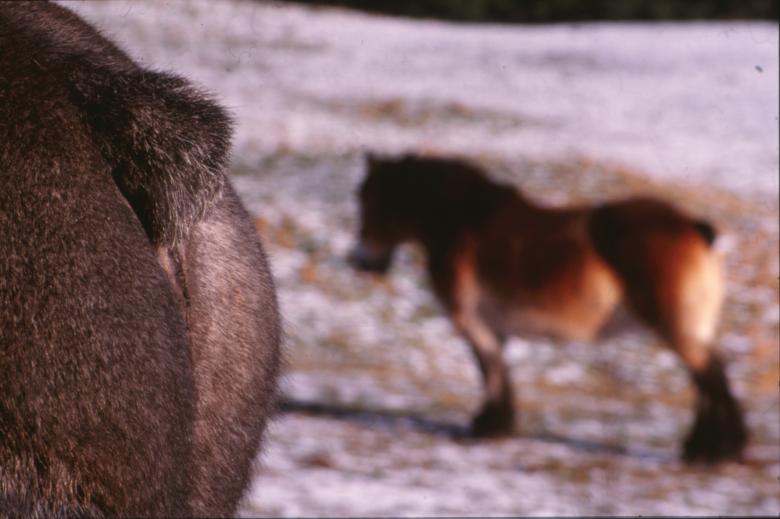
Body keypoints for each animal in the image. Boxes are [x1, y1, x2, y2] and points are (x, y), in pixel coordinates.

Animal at [349, 153, 746, 463]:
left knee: (711, 379)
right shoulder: (493, 328)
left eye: (370, 199)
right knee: (706, 381)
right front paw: (497, 424)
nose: (361, 262)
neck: (461, 222)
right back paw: (702, 447)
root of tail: (694, 227)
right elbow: (496, 373)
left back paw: (714, 451)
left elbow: (490, 372)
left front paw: (487, 427)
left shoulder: (471, 323)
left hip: (677, 331)